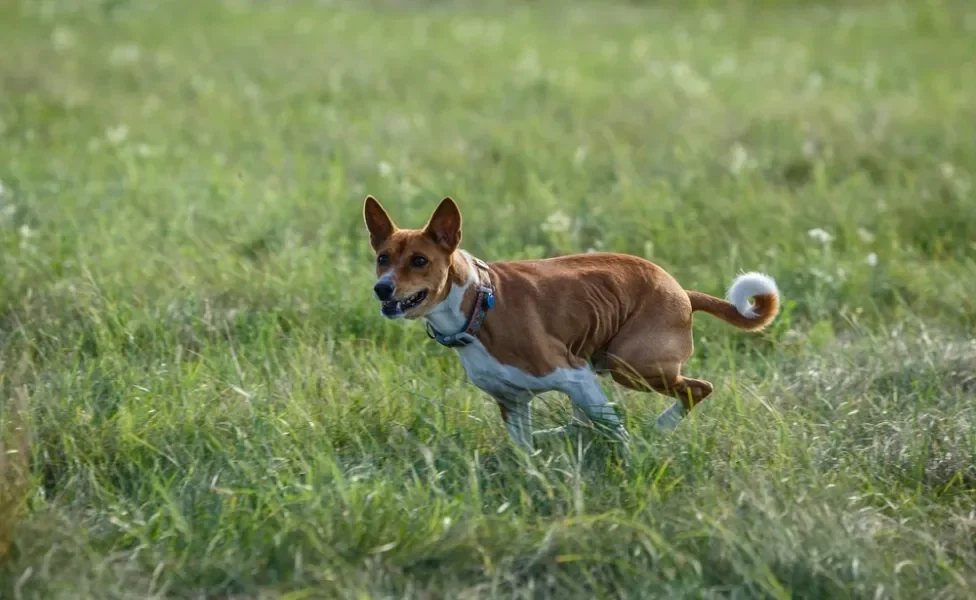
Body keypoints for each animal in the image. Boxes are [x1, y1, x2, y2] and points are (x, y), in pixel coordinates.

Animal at [362, 195, 780, 458]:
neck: (478, 305)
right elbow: (526, 452)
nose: (382, 288)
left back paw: (659, 428)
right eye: (383, 258)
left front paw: (632, 459)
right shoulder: (513, 401)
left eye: (419, 260)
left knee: (696, 390)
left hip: (629, 365)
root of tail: (683, 292)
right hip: (602, 366)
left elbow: (617, 430)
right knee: (587, 423)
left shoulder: (572, 374)